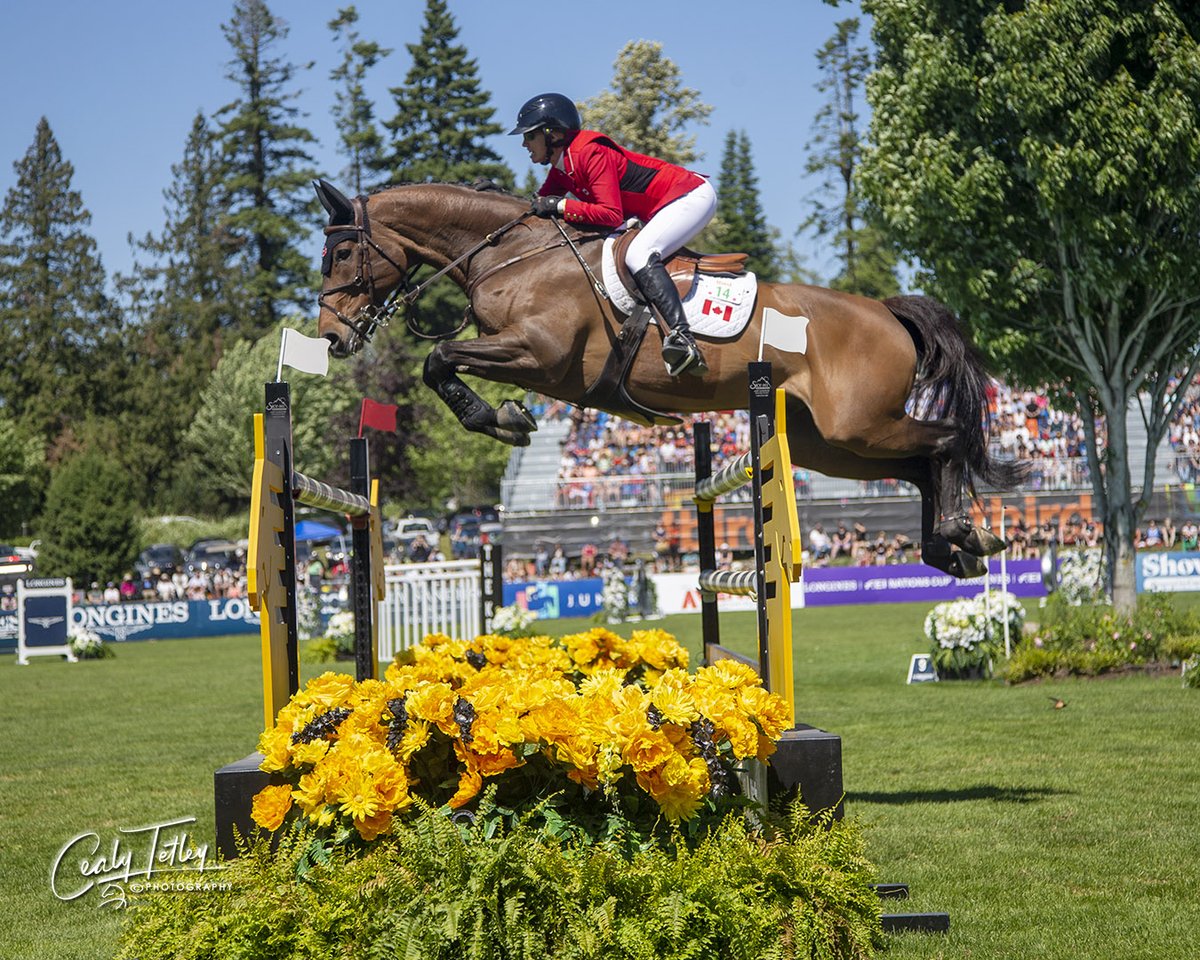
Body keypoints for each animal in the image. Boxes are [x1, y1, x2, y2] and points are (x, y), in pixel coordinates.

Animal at [312, 182, 1022, 585]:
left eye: (342, 254)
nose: (331, 337)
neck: (511, 257)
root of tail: (887, 312)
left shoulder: (539, 355)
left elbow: (439, 360)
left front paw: (502, 420)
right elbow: (442, 362)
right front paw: (504, 417)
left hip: (860, 423)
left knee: (946, 441)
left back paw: (963, 533)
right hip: (831, 443)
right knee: (920, 464)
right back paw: (951, 547)